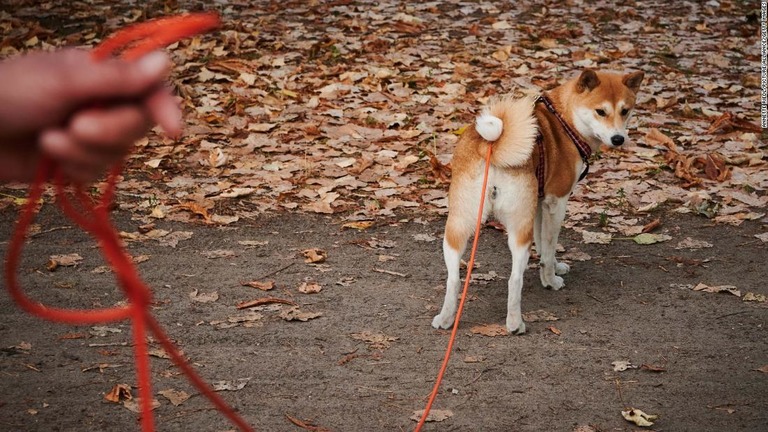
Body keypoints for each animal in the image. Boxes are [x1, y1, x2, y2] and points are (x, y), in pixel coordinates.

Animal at [432, 70, 640, 334]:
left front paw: (553, 267)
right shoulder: (556, 202)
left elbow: (543, 245)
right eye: (600, 111)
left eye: (625, 110)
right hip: (520, 229)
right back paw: (514, 323)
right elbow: (549, 249)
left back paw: (446, 318)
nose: (618, 138)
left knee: (453, 279)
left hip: (458, 225)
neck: (565, 120)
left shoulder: (541, 203)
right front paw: (550, 278)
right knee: (514, 280)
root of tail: (490, 147)